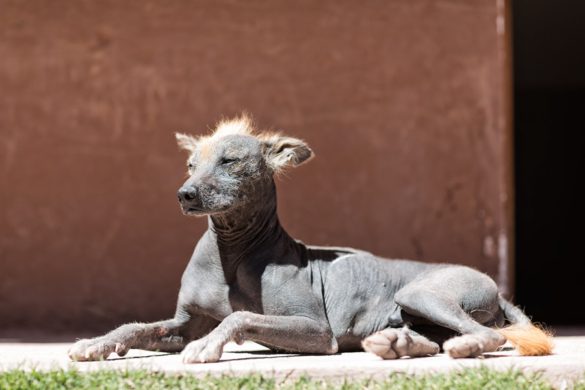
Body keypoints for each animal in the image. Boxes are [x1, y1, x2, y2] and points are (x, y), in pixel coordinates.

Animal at [68, 115, 552, 362]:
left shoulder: (317, 330)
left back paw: (461, 345)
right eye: (191, 164)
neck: (230, 251)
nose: (185, 194)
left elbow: (238, 317)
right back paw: (395, 343)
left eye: (229, 161)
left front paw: (210, 345)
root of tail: (496, 287)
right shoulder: (184, 323)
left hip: (423, 293)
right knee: (433, 339)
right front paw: (97, 342)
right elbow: (137, 326)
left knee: (488, 336)